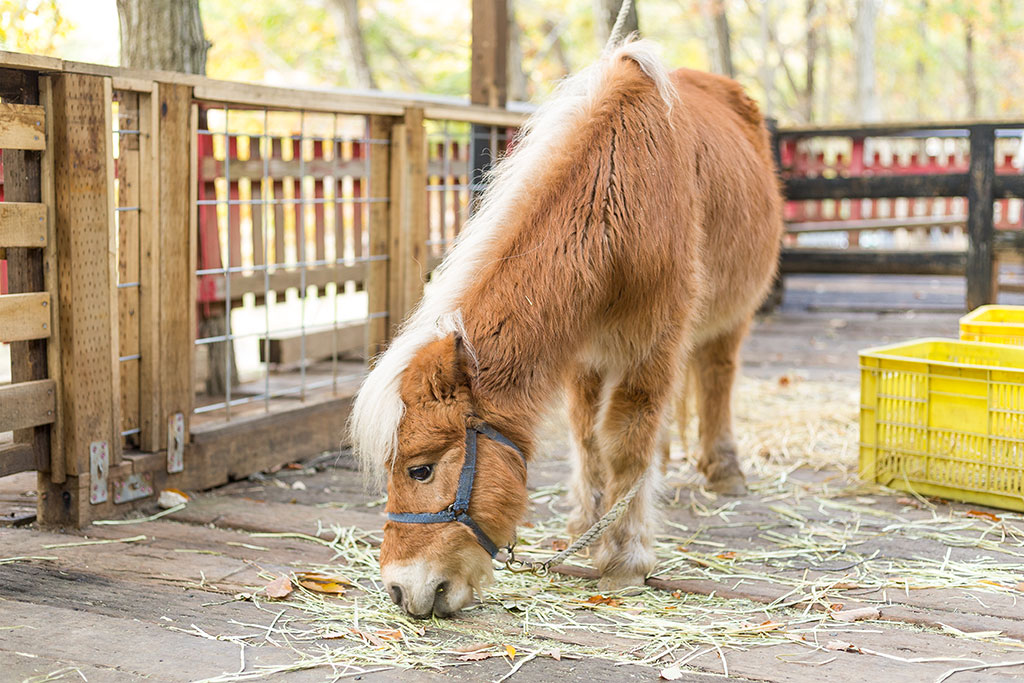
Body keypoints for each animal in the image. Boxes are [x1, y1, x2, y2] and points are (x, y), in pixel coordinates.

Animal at [348, 42, 778, 618]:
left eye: (420, 469)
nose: (400, 590)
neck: (618, 197)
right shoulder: (584, 354)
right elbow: (587, 436)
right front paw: (586, 524)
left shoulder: (651, 348)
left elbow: (625, 440)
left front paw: (624, 556)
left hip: (731, 318)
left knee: (717, 378)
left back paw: (724, 470)